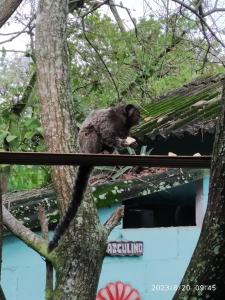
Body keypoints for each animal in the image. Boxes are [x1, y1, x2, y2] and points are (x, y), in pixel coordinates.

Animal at [48, 103, 140, 251]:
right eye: (137, 113)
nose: (140, 117)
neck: (122, 120)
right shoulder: (108, 118)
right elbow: (106, 133)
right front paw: (123, 144)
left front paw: (130, 143)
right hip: (87, 142)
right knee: (93, 132)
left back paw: (108, 152)